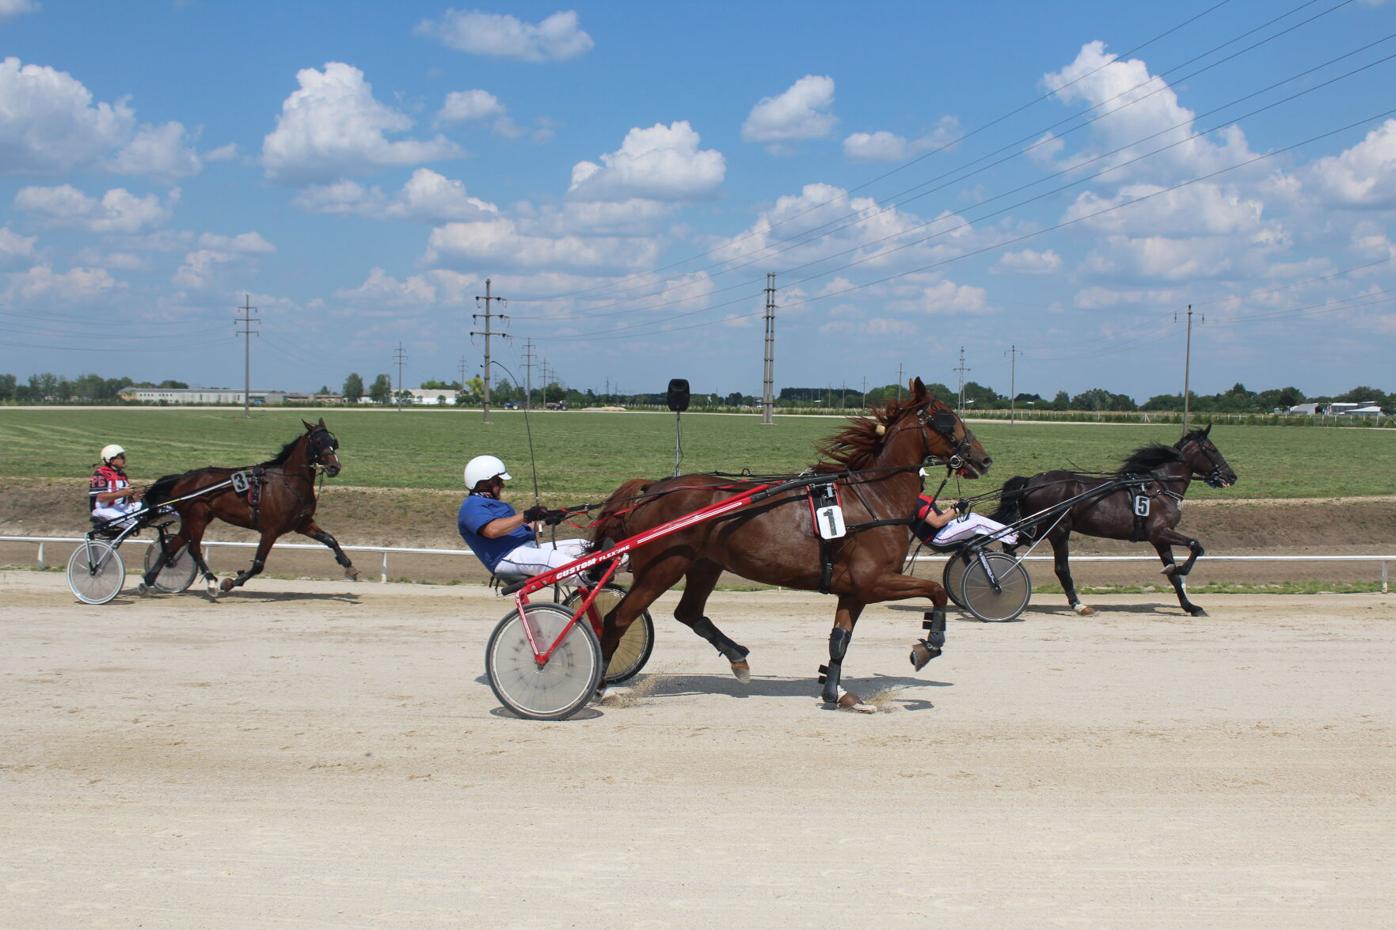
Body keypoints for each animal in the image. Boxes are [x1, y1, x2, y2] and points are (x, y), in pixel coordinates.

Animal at [138, 416, 357, 589]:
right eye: (318, 441)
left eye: (333, 441)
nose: (334, 467)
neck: (288, 483)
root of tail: (183, 478)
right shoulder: (270, 530)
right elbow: (258, 564)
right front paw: (231, 582)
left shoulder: (302, 523)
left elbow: (330, 539)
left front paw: (349, 565)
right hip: (197, 518)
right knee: (194, 549)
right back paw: (211, 581)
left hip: (194, 519)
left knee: (173, 546)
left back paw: (149, 580)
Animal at [589, 377, 993, 709]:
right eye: (946, 417)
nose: (984, 458)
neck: (874, 497)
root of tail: (651, 490)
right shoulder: (874, 581)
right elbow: (935, 591)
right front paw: (930, 645)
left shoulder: (854, 590)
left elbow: (839, 639)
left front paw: (836, 693)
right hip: (663, 568)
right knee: (616, 620)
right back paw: (600, 688)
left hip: (705, 564)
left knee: (688, 612)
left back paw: (737, 657)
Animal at [988, 421, 1239, 614]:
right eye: (1212, 449)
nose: (1232, 476)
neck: (1160, 487)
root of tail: (1031, 481)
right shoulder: (1159, 531)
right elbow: (1196, 545)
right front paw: (1180, 570)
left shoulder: (1160, 539)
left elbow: (1174, 575)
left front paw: (1190, 605)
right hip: (1056, 530)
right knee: (1061, 568)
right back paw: (1078, 604)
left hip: (1039, 529)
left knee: (1010, 545)